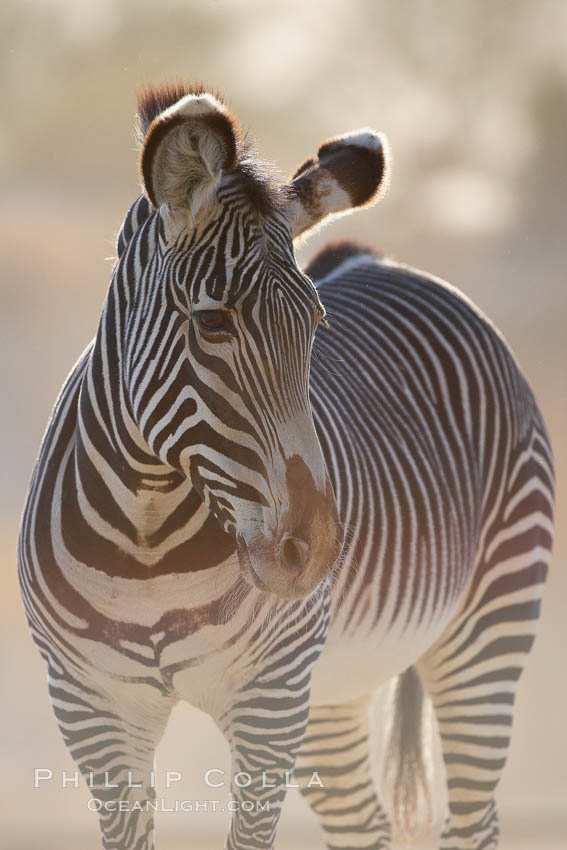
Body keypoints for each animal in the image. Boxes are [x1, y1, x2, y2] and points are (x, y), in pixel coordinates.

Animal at [18, 81, 556, 848]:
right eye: (212, 323)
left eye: (316, 326)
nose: (319, 549)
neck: (146, 541)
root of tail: (382, 262)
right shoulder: (90, 708)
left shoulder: (269, 701)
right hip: (334, 688)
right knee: (365, 824)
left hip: (487, 631)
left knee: (474, 817)